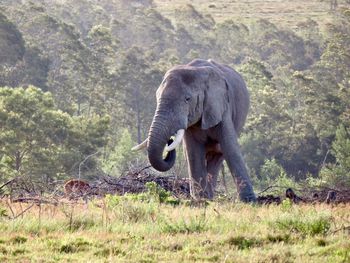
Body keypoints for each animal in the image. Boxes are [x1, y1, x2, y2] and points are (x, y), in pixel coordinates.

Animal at [133, 59, 256, 202]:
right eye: (157, 97)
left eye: (187, 99)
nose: (169, 140)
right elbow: (194, 153)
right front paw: (201, 200)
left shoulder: (221, 106)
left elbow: (230, 148)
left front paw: (249, 201)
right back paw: (207, 197)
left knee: (218, 155)